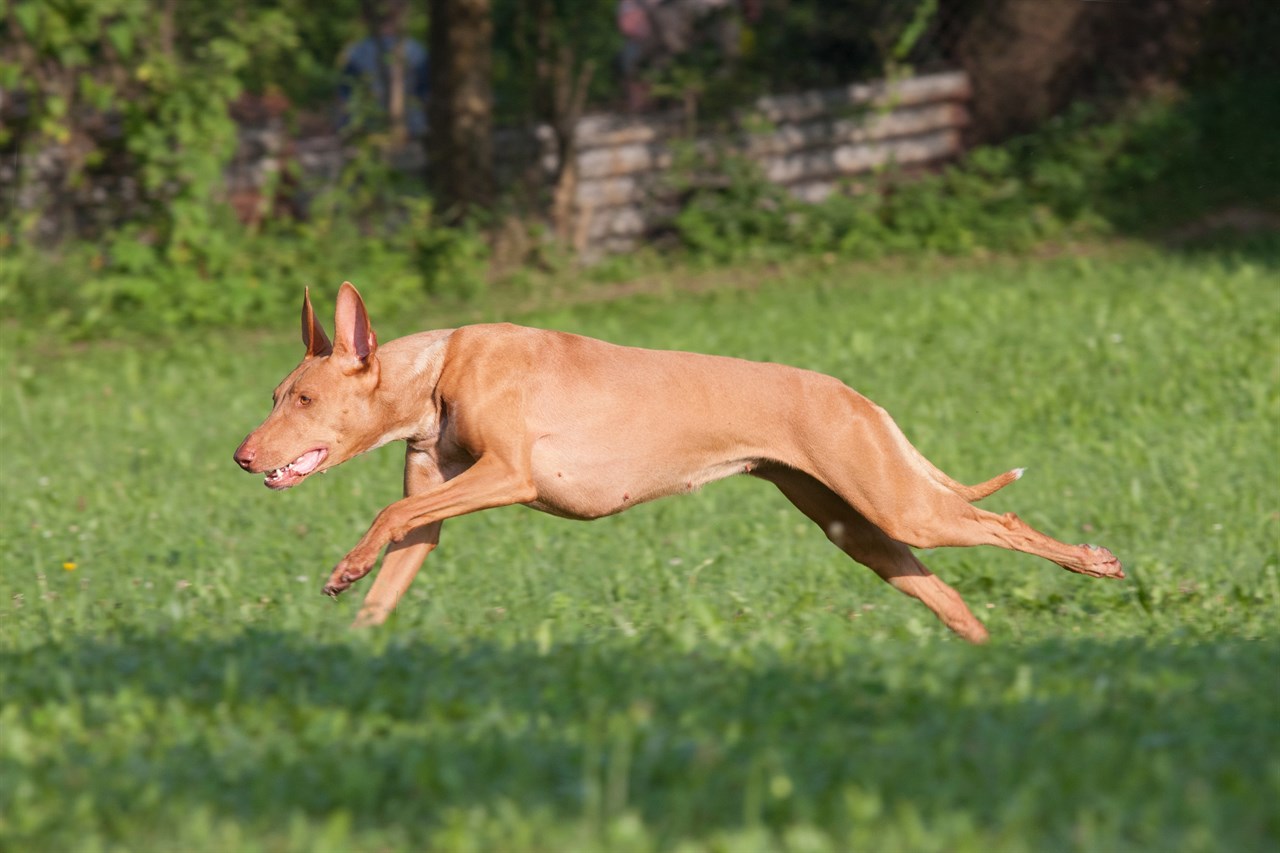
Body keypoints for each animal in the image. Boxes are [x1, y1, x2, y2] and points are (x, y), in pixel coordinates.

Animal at [235, 281, 1126, 640]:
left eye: (303, 399)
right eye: (277, 392)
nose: (241, 457)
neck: (437, 369)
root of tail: (854, 394)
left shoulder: (508, 476)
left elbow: (388, 512)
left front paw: (346, 565)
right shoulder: (435, 514)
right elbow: (396, 557)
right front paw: (354, 623)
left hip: (902, 505)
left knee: (1002, 520)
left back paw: (1094, 562)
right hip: (859, 530)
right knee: (946, 596)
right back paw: (986, 651)